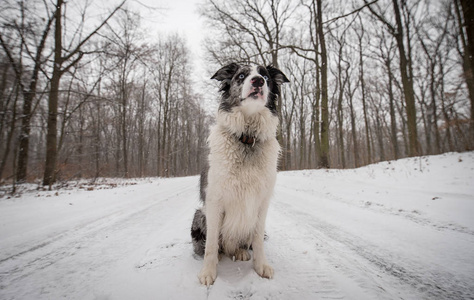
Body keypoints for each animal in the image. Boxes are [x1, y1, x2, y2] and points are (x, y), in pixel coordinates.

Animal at [190, 62, 286, 286]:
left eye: (266, 77)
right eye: (241, 76)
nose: (258, 81)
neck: (247, 138)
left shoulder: (262, 202)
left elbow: (258, 239)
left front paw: (260, 266)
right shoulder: (214, 200)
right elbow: (210, 245)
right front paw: (208, 272)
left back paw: (241, 251)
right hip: (199, 215)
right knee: (214, 244)